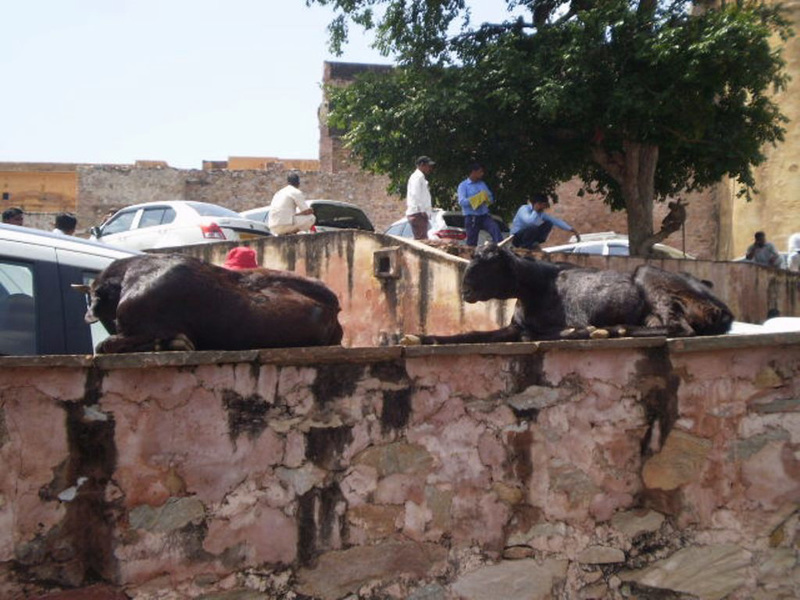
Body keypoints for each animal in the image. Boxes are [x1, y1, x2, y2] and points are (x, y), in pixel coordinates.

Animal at [406, 244, 732, 344]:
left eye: (490, 262)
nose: (465, 289)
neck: (536, 286)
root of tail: (722, 309)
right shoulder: (514, 326)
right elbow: (471, 334)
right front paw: (420, 337)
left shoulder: (568, 318)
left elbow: (554, 330)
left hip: (647, 275)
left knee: (679, 327)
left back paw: (612, 329)